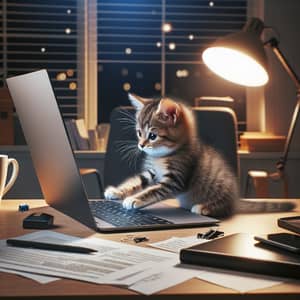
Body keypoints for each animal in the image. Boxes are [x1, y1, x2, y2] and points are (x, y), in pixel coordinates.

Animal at [104, 94, 294, 218]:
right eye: (138, 133)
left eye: (152, 136)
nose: (141, 145)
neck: (162, 156)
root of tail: (235, 199)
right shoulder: (151, 172)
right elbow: (137, 181)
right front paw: (118, 191)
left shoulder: (176, 178)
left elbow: (153, 190)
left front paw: (134, 199)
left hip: (220, 188)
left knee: (225, 208)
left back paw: (205, 208)